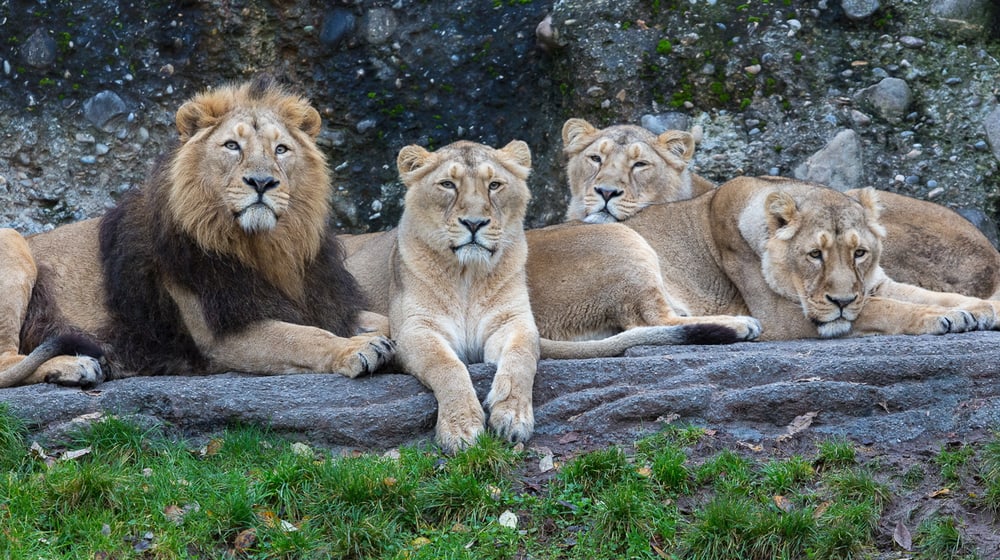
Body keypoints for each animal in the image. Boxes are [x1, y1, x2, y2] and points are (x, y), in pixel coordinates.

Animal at [0, 77, 393, 387]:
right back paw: (76, 365)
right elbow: (302, 338)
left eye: (281, 149)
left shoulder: (318, 303)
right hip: (12, 242)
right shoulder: (221, 334)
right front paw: (356, 348)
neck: (268, 250)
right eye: (232, 146)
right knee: (6, 362)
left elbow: (382, 319)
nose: (262, 182)